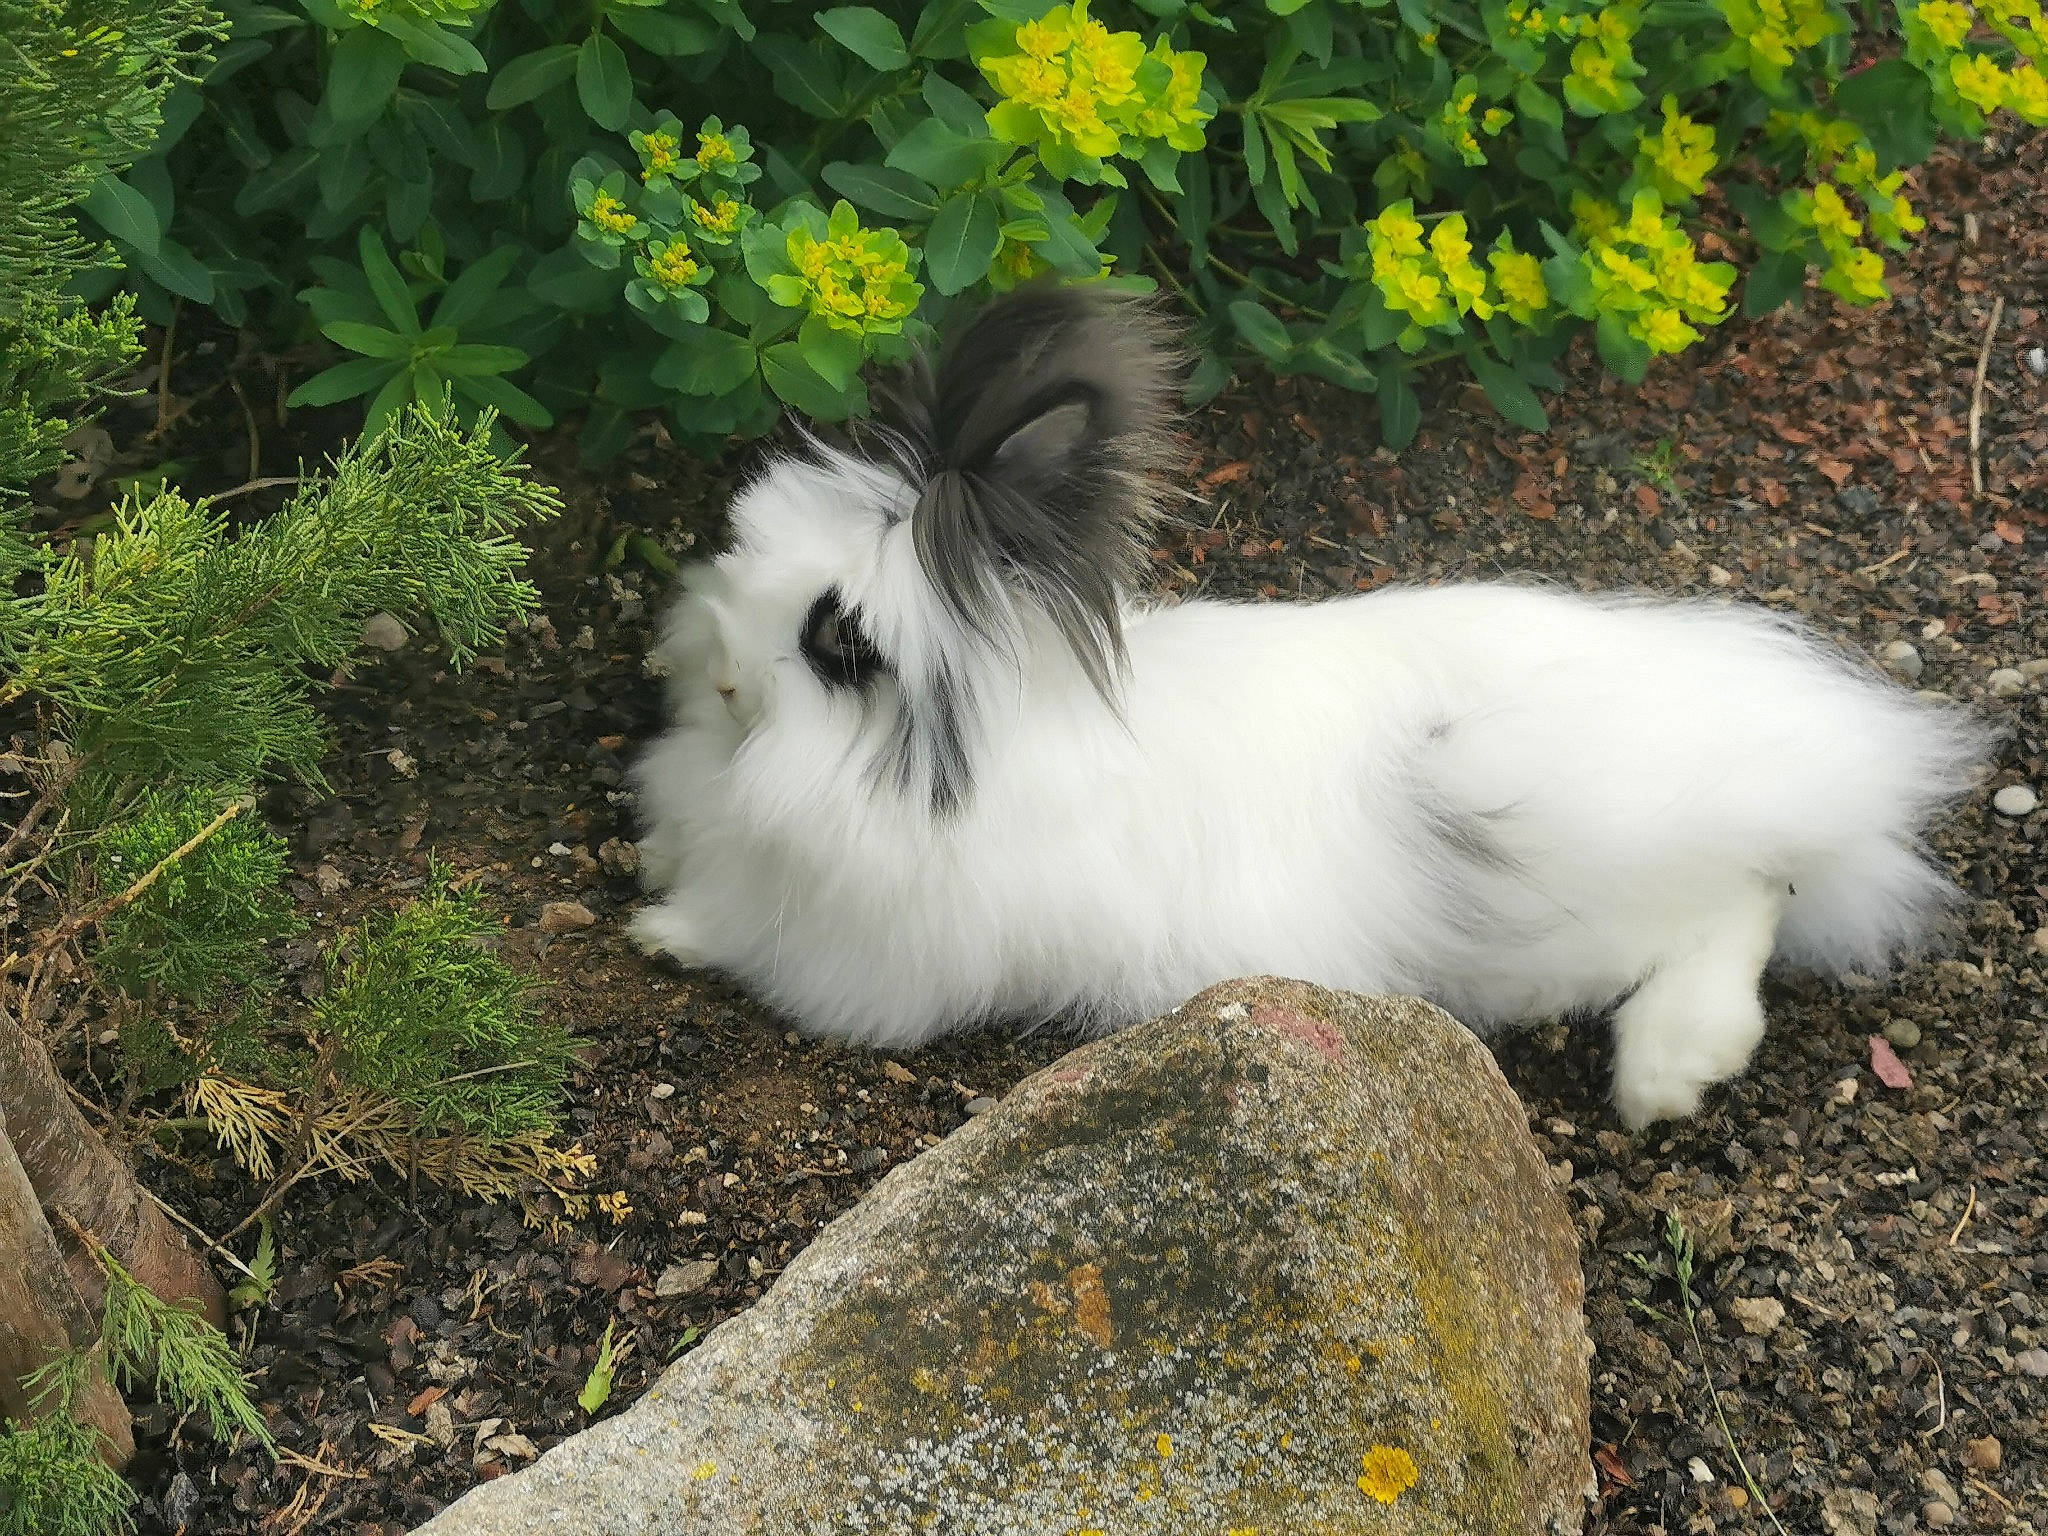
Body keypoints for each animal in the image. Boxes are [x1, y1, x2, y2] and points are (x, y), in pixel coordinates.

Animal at [630, 283, 1989, 1129]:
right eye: (747, 541)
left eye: (838, 640)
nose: (721, 672)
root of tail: (1802, 743)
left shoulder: (863, 955)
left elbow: (745, 940)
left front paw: (659, 934)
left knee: (1745, 902)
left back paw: (1665, 1073)